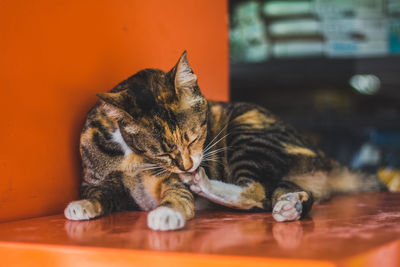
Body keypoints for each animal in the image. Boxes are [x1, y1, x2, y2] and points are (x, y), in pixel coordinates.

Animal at [64, 51, 386, 231]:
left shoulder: (171, 181)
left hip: (249, 132)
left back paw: (205, 184)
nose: (187, 166)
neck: (131, 157)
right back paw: (290, 205)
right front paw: (81, 205)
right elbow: (99, 195)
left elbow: (176, 195)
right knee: (284, 193)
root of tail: (325, 156)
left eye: (195, 137)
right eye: (163, 153)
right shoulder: (96, 180)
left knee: (255, 192)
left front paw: (167, 213)